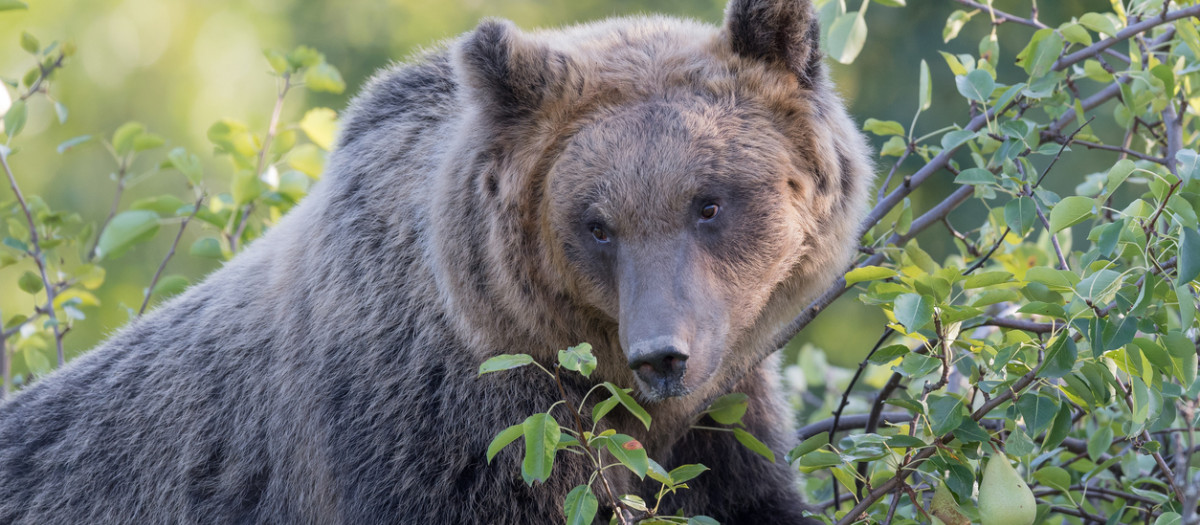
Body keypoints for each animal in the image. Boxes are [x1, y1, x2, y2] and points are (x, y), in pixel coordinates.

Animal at [0, 0, 871, 523]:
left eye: (709, 202)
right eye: (597, 224)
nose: (664, 353)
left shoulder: (722, 413)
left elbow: (742, 490)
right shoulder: (454, 425)